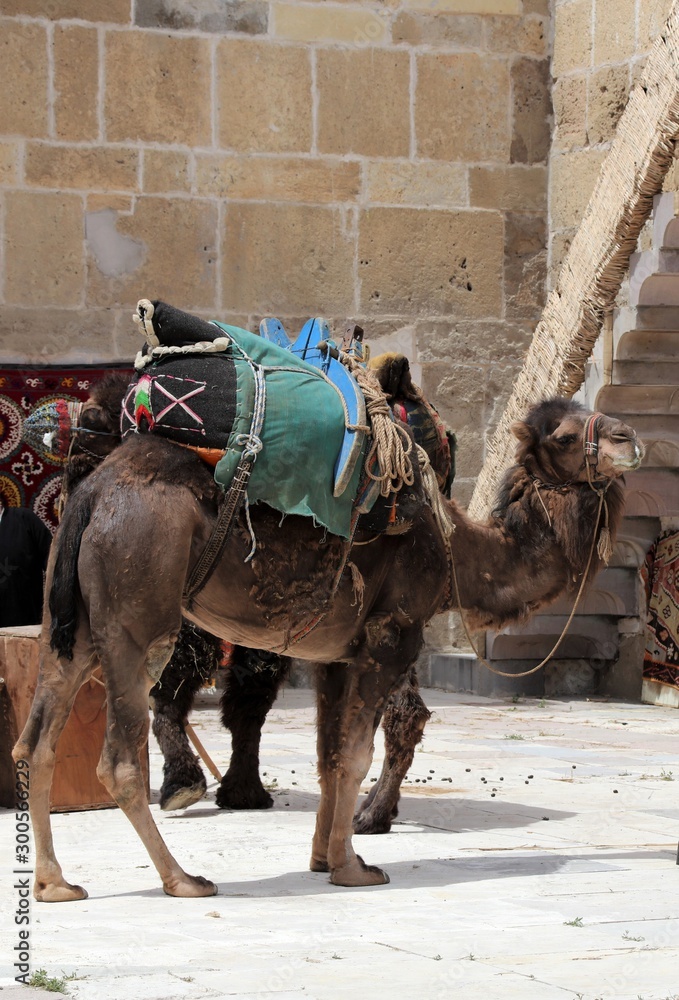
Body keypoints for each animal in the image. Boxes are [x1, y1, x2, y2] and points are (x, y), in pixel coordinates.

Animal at [14, 346, 642, 901]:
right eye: (564, 436)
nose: (628, 439)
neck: (455, 553)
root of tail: (95, 492)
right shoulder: (391, 636)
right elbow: (355, 754)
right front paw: (353, 867)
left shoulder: (337, 653)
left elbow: (329, 757)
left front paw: (325, 857)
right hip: (139, 614)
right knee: (119, 758)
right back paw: (183, 879)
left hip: (73, 624)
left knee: (37, 740)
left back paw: (54, 883)